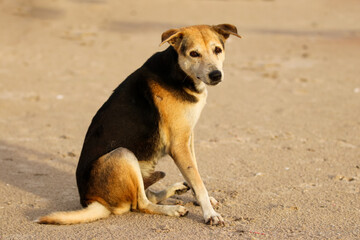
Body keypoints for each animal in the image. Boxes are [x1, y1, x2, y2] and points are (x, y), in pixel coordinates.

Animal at [36, 23, 240, 226]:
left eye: (217, 50)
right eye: (194, 53)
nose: (216, 75)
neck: (179, 72)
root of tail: (93, 201)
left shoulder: (187, 138)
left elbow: (194, 175)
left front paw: (204, 201)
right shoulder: (178, 145)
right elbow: (197, 181)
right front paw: (210, 214)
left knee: (148, 195)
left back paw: (175, 190)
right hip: (123, 154)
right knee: (141, 203)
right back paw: (172, 209)